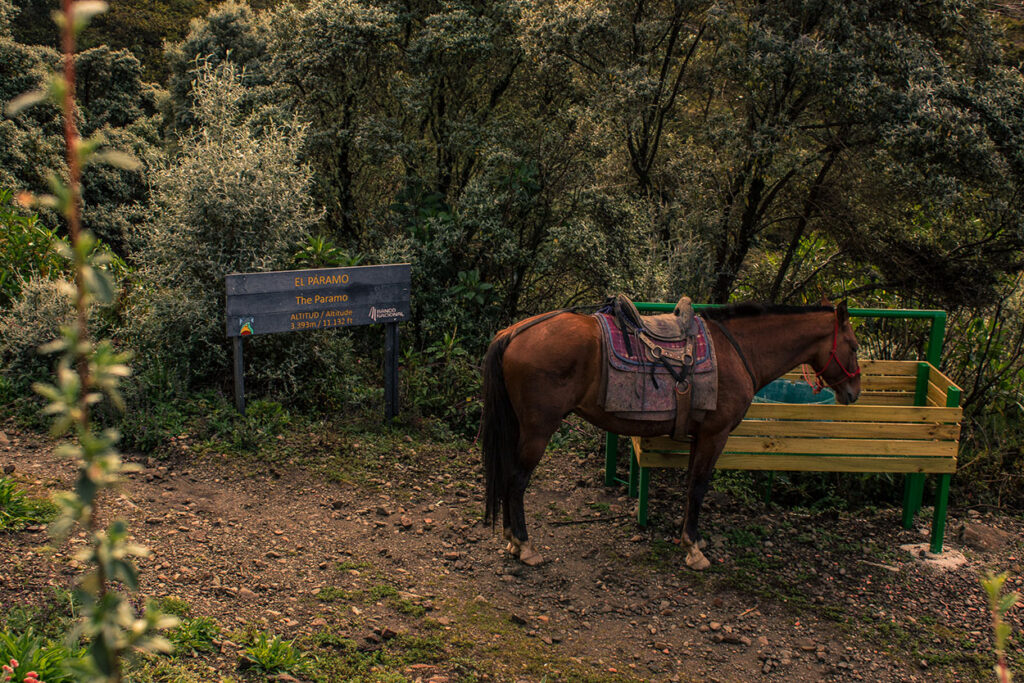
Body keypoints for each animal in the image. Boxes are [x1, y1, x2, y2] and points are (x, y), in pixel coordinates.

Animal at [480, 301, 861, 570]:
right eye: (855, 346)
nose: (855, 392)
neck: (738, 351)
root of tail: (514, 332)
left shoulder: (700, 436)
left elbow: (692, 484)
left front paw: (690, 539)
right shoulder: (715, 434)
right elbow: (699, 487)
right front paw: (693, 548)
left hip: (519, 425)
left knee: (508, 475)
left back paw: (512, 538)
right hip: (539, 428)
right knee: (517, 480)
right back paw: (525, 546)